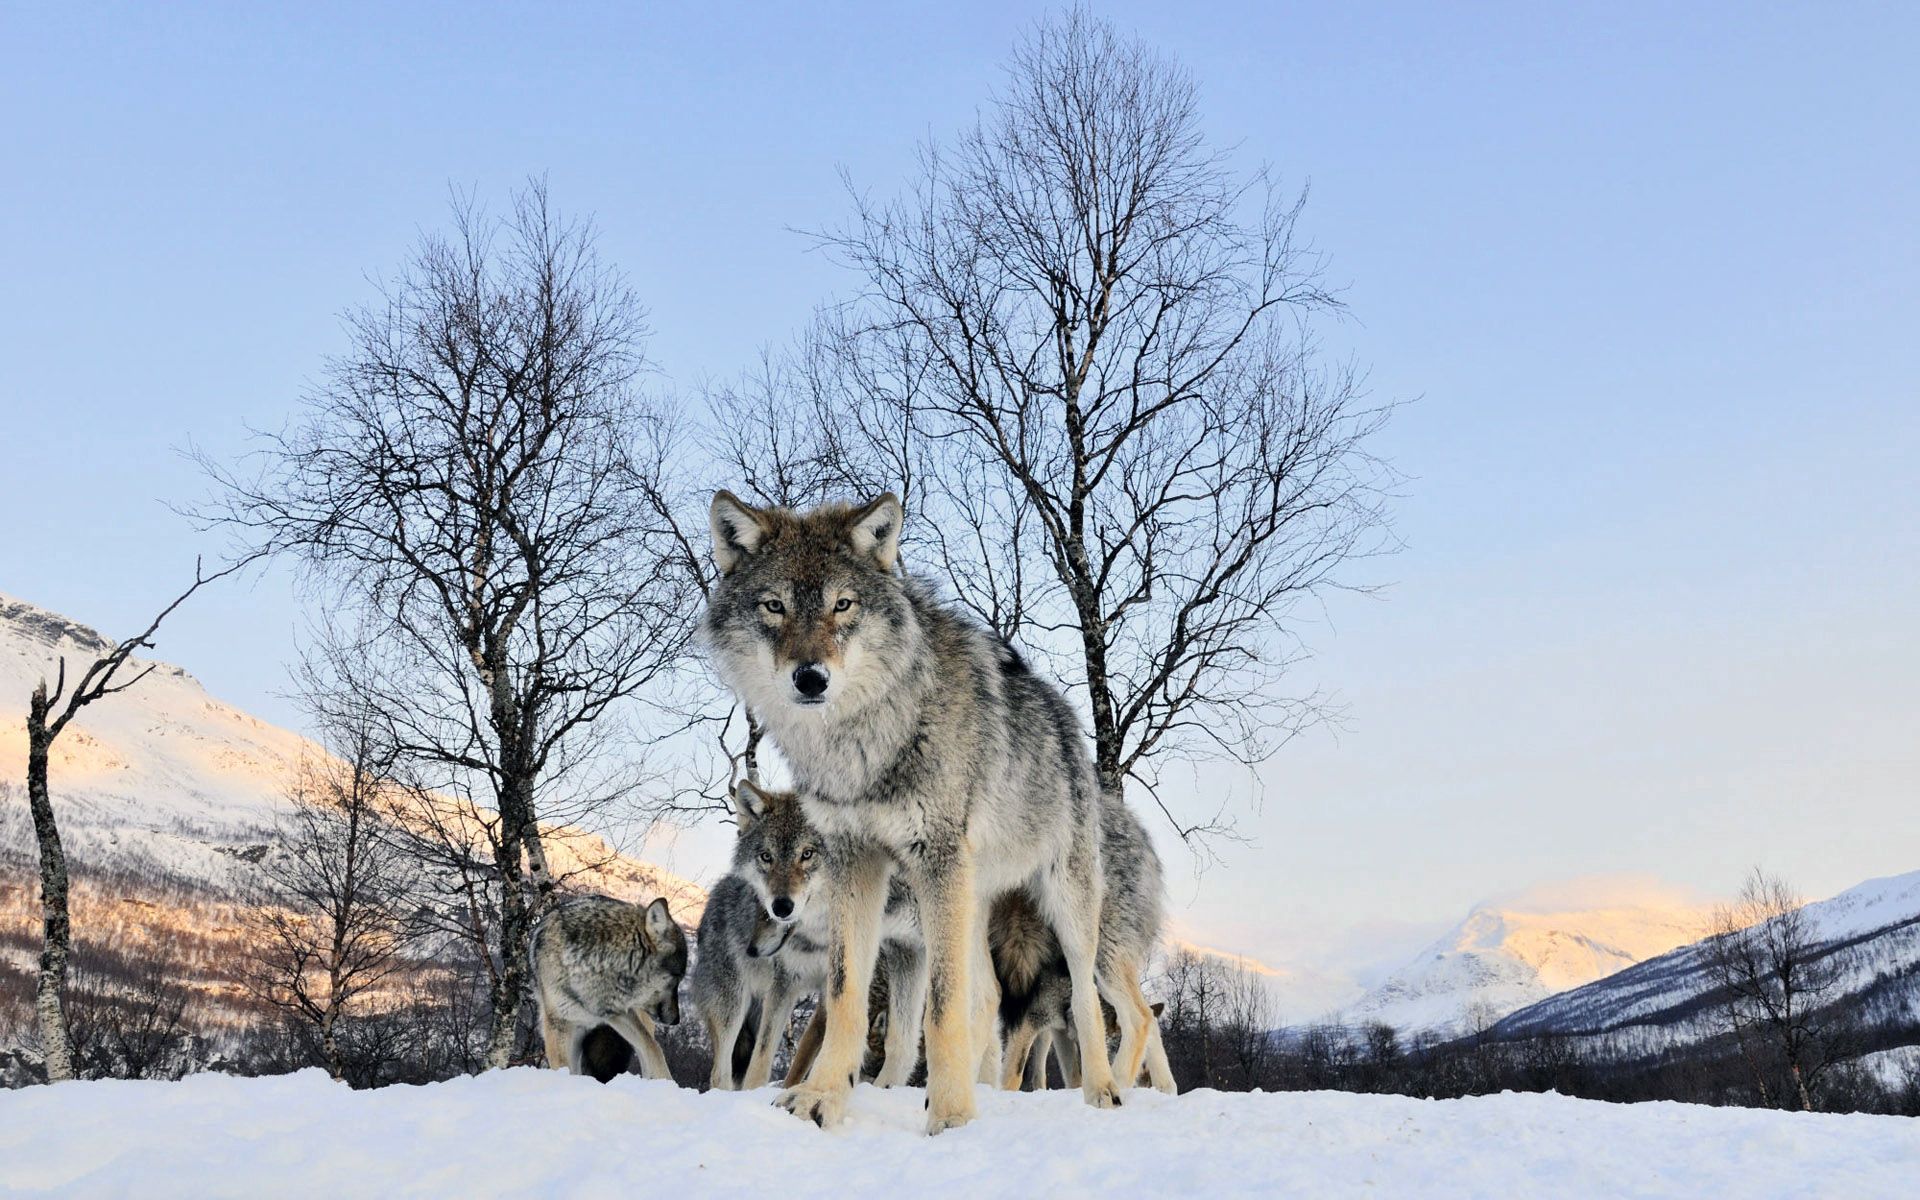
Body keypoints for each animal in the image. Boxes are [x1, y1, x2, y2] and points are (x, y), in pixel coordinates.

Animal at [533, 890, 691, 1075]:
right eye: (677, 978)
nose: (676, 1020)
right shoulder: (559, 1026)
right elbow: (565, 1068)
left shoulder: (621, 1013)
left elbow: (653, 1049)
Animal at [691, 783, 929, 1090]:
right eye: (766, 857)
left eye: (807, 854)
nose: (780, 907)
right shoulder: (785, 984)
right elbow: (763, 1059)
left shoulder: (829, 999)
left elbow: (803, 1060)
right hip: (731, 1006)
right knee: (719, 1071)